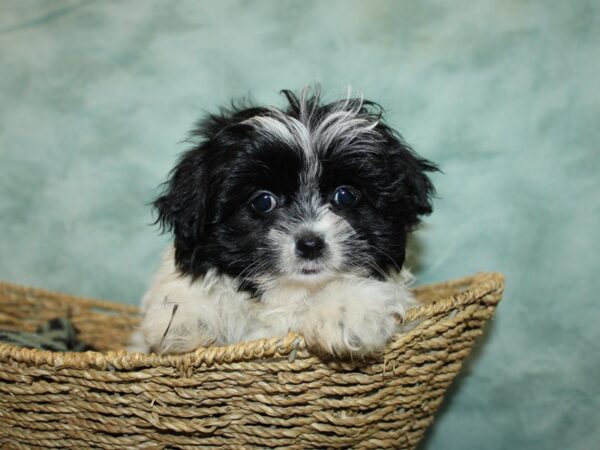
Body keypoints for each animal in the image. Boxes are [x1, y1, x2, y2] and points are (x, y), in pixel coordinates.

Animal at [130, 86, 436, 356]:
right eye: (263, 202)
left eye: (345, 196)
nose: (310, 244)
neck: (290, 293)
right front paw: (185, 317)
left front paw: (345, 310)